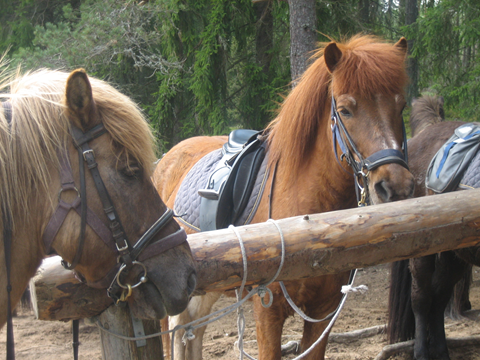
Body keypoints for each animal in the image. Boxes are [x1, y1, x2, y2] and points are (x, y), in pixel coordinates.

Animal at [156, 34, 414, 360]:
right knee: (175, 332)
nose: (396, 187)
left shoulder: (324, 311)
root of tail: (164, 161)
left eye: (401, 106)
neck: (309, 224)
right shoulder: (268, 309)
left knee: (193, 331)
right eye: (345, 110)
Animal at [386, 96, 480, 360]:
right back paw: (421, 352)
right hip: (423, 253)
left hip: (454, 254)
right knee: (421, 298)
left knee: (439, 296)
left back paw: (441, 350)